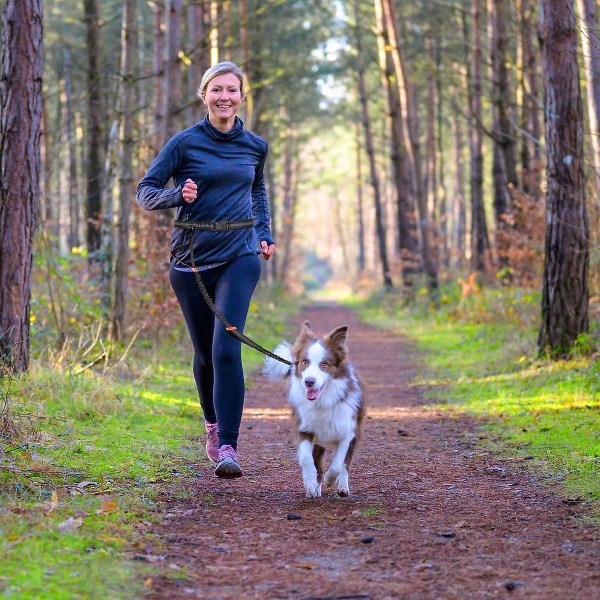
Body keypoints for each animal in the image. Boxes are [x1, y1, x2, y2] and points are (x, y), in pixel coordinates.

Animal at [264, 322, 366, 500]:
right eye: (305, 362)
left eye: (324, 364)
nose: (309, 382)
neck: (322, 401)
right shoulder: (305, 428)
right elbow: (306, 459)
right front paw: (311, 484)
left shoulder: (347, 431)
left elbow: (338, 463)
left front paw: (330, 480)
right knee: (317, 461)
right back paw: (316, 487)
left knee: (346, 463)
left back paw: (342, 488)